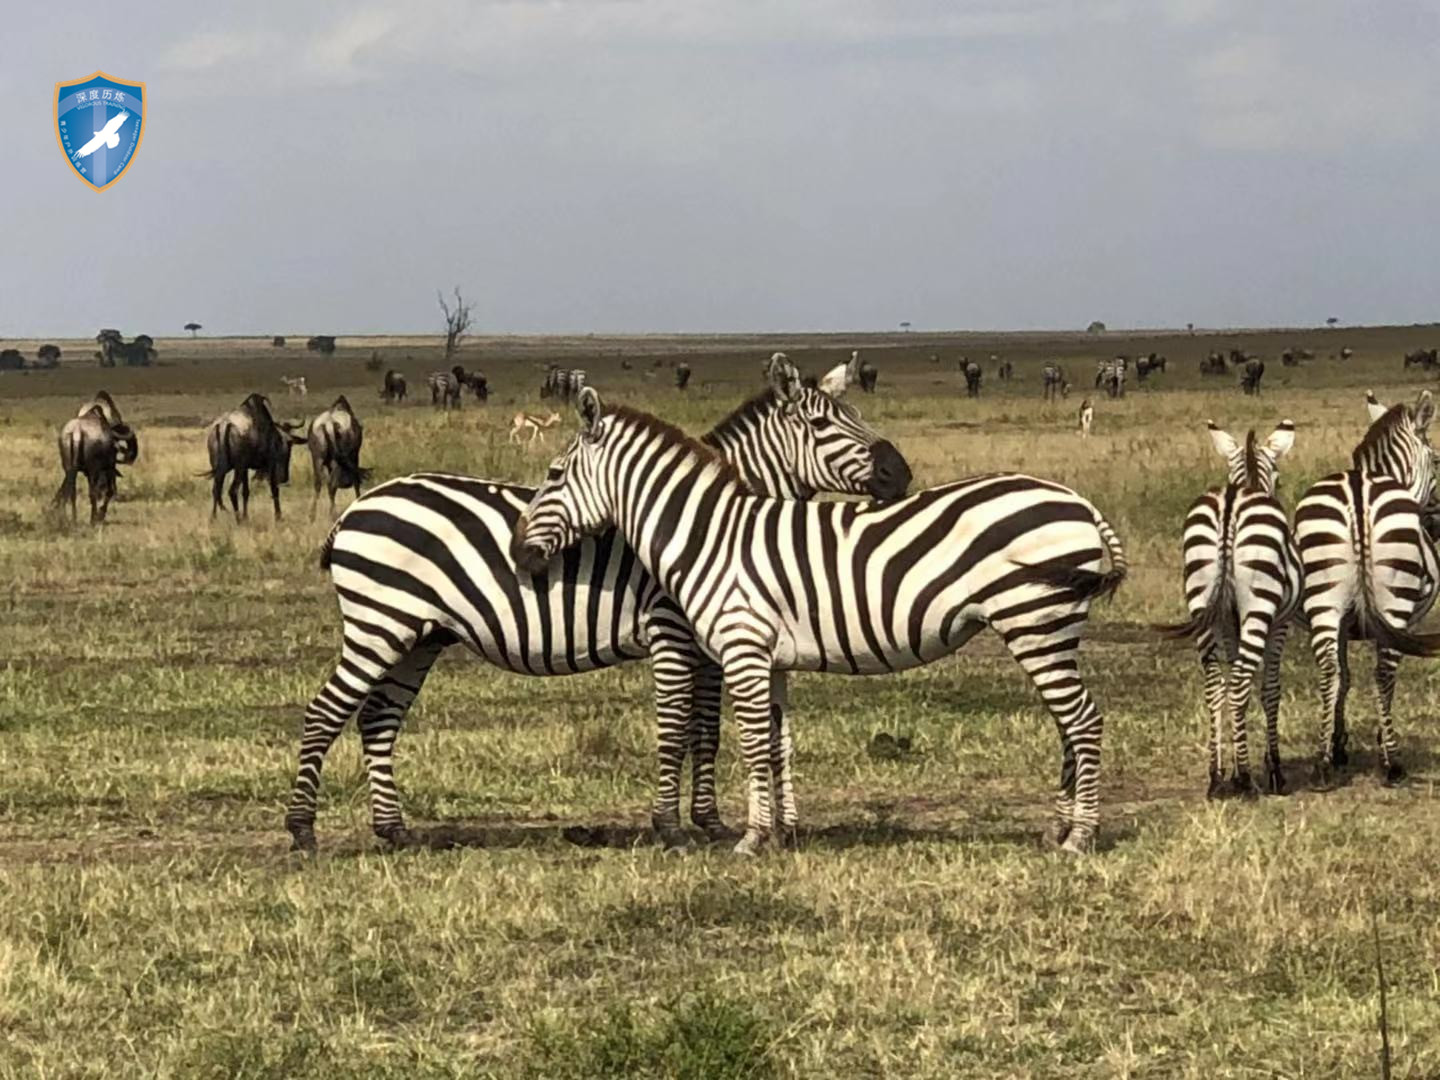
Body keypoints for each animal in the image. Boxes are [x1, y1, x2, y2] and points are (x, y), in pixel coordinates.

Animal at [283, 360, 910, 858]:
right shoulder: (671, 630)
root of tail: (357, 508)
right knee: (325, 712)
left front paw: (709, 822)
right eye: (825, 425)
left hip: (420, 634)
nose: (900, 474)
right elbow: (677, 727)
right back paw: (302, 830)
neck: (707, 521)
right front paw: (673, 828)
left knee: (377, 718)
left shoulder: (709, 642)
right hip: (379, 625)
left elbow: (706, 730)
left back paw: (394, 830)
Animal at [512, 394, 1128, 858]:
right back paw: (1057, 828)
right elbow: (776, 743)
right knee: (1067, 723)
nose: (521, 555)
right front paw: (779, 835)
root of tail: (1082, 504)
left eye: (554, 474)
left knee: (1083, 720)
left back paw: (1080, 837)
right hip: (1045, 629)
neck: (710, 536)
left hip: (1036, 623)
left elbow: (752, 743)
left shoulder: (743, 648)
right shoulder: (772, 659)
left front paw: (751, 840)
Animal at [1157, 417, 1307, 800]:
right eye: (1279, 477)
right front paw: (1273, 771)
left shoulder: (1227, 623)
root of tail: (1229, 503)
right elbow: (1269, 690)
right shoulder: (1279, 624)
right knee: (1238, 685)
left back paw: (1216, 777)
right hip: (1259, 605)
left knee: (1214, 687)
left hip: (1201, 605)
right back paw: (1245, 780)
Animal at [1296, 388, 1440, 789]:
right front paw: (1374, 739)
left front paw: (1337, 744)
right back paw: (1392, 762)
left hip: (1323, 599)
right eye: (1437, 461)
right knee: (1384, 673)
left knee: (1328, 669)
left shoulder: (1343, 625)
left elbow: (1343, 677)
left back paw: (1322, 765)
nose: (1436, 522)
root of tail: (1359, 490)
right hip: (1395, 604)